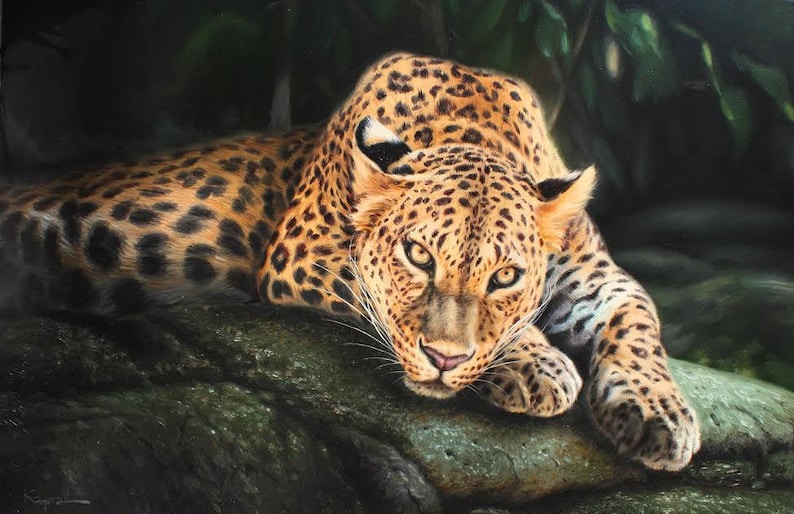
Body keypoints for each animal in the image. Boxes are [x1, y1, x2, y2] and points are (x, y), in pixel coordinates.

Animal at [0, 52, 700, 471]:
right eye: (417, 255)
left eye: (506, 276)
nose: (444, 361)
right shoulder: (300, 250)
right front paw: (538, 365)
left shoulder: (595, 276)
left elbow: (640, 319)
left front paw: (660, 414)